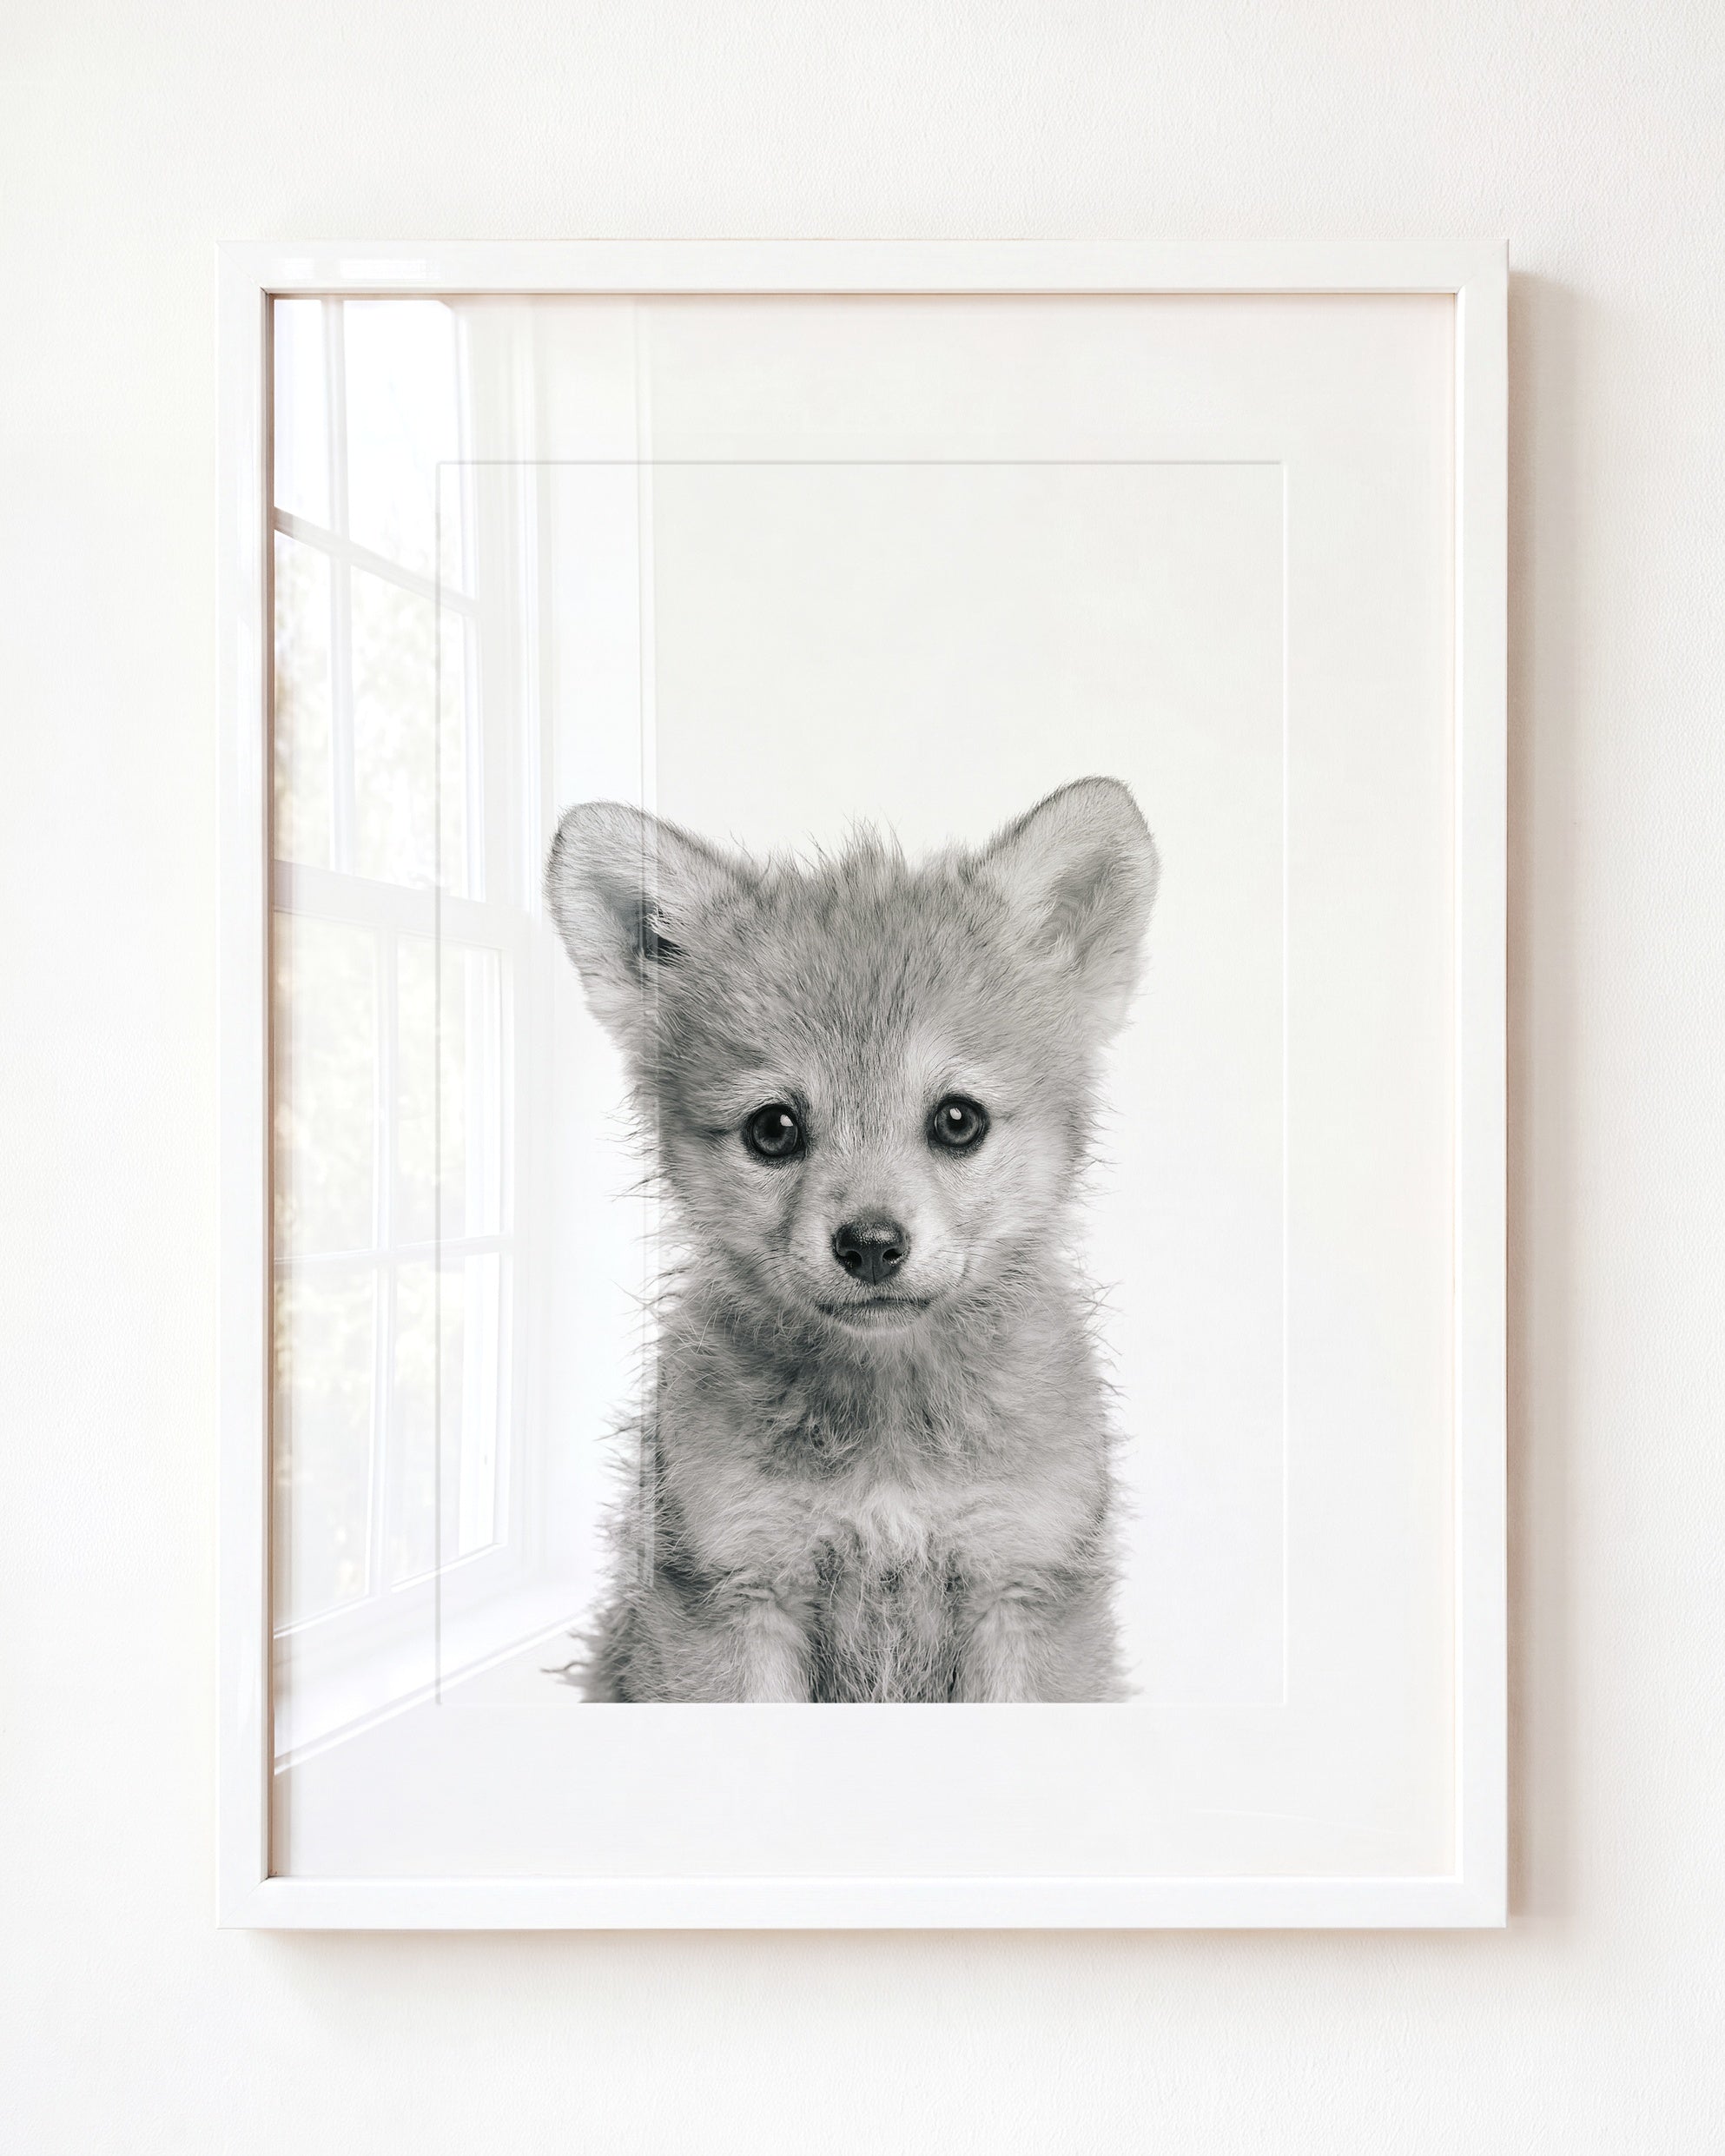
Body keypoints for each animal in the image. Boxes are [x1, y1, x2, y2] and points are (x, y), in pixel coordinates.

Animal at [544, 776, 1159, 1702]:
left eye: (957, 1120)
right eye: (773, 1130)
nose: (871, 1246)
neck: (888, 1439)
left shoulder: (1022, 1586)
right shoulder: (735, 1594)